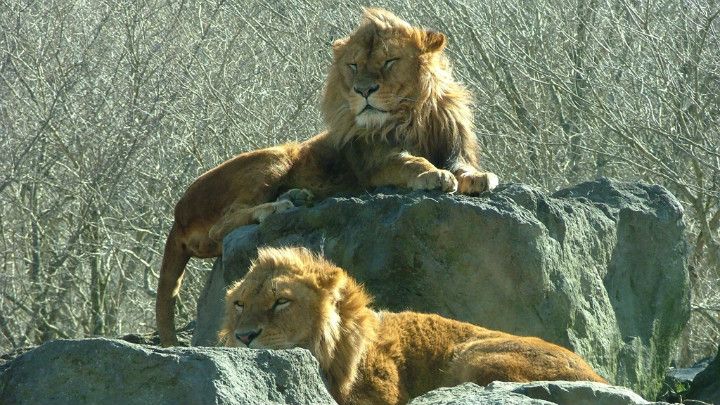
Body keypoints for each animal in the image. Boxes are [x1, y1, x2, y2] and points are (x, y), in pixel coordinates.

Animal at [156, 7, 500, 346]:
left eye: (389, 61)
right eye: (353, 65)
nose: (363, 90)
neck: (410, 117)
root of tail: (178, 214)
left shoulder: (454, 148)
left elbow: (464, 166)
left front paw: (479, 177)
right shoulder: (376, 162)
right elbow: (411, 163)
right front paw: (434, 174)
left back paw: (295, 196)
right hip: (274, 158)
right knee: (222, 226)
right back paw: (277, 206)